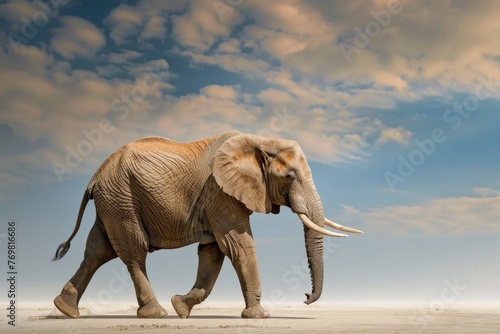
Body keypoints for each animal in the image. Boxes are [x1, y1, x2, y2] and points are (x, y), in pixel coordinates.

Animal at [52, 130, 362, 318]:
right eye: (290, 176)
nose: (306, 296)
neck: (259, 140)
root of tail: (95, 175)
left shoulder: (216, 199)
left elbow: (213, 252)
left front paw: (181, 308)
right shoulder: (220, 192)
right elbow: (239, 245)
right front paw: (259, 317)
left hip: (113, 202)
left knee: (98, 251)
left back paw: (65, 310)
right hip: (122, 200)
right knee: (132, 252)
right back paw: (155, 314)